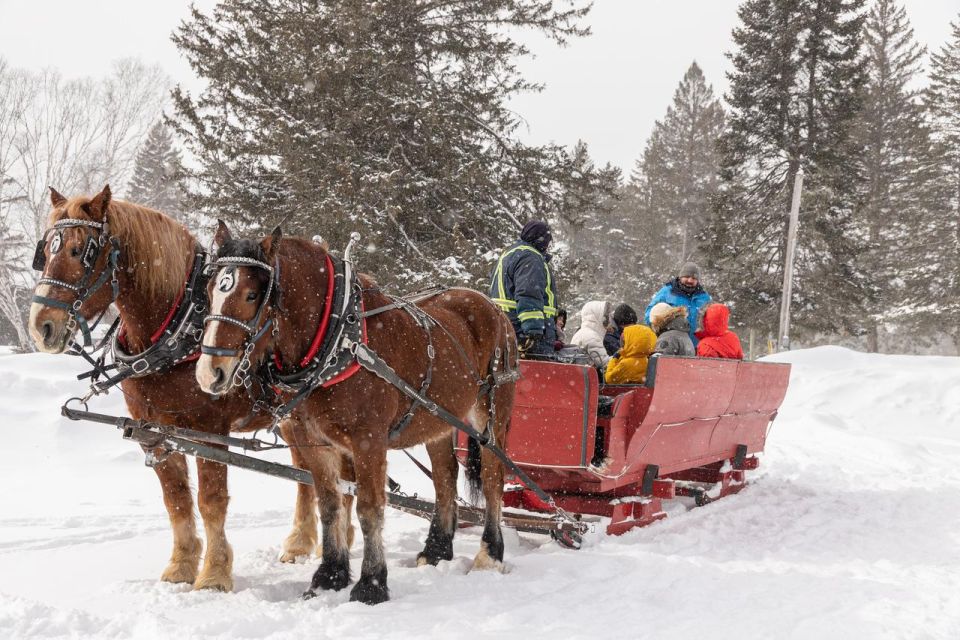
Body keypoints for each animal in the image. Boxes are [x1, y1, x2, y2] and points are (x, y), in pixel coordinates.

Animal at [27, 185, 352, 592]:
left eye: (80, 251)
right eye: (46, 251)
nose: (41, 326)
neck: (179, 328)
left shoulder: (208, 428)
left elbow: (211, 499)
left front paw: (214, 573)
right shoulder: (153, 428)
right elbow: (176, 498)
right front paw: (181, 566)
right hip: (295, 420)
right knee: (309, 473)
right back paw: (301, 543)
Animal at [196, 224, 520, 604]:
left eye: (250, 295)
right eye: (208, 291)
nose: (209, 373)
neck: (339, 340)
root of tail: (493, 307)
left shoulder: (368, 441)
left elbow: (369, 507)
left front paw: (371, 584)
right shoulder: (313, 440)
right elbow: (329, 504)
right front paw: (329, 575)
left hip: (492, 412)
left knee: (493, 477)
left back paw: (490, 553)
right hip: (438, 418)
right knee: (444, 477)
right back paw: (437, 550)